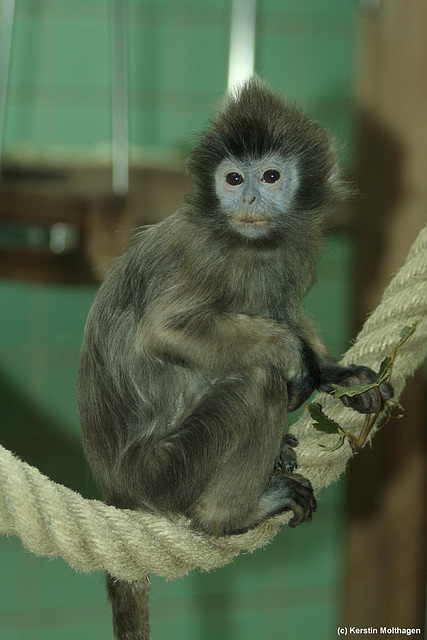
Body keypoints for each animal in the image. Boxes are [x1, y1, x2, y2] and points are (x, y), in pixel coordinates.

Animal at [77, 77, 394, 636]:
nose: (247, 196)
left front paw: (334, 372)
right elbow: (164, 332)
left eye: (269, 176)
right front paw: (297, 359)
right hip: (168, 470)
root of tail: (118, 484)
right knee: (256, 383)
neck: (250, 243)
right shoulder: (207, 256)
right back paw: (230, 516)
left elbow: (284, 310)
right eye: (232, 178)